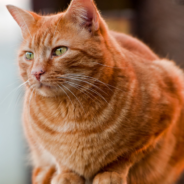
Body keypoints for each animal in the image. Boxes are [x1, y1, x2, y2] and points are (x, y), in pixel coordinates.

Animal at [6, 0, 184, 184]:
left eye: (60, 50)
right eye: (29, 55)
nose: (36, 73)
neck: (71, 114)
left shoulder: (165, 110)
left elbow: (125, 155)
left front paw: (110, 172)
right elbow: (60, 158)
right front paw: (67, 174)